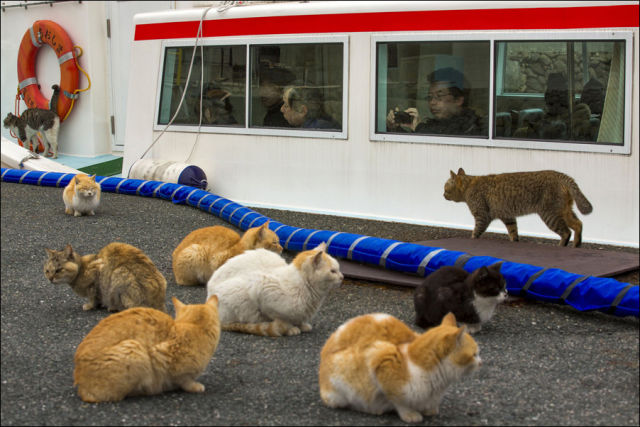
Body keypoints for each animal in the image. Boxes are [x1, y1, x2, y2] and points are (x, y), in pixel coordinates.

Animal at [73, 296, 220, 402]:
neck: (193, 326)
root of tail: (81, 387)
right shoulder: (161, 355)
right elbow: (183, 379)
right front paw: (195, 386)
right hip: (135, 349)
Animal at [208, 242, 342, 336]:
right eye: (333, 271)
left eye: (339, 269)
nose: (342, 277)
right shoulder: (261, 288)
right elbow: (279, 318)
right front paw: (290, 328)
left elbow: (299, 319)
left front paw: (302, 325)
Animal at [320, 312, 480, 422]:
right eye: (474, 354)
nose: (482, 362)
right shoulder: (382, 357)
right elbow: (398, 401)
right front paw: (410, 414)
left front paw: (429, 409)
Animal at [442, 167, 592, 247]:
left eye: (445, 188)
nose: (442, 194)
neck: (470, 185)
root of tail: (561, 175)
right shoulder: (508, 217)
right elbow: (513, 233)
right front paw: (514, 241)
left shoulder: (482, 216)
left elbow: (475, 232)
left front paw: (472, 239)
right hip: (564, 211)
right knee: (578, 224)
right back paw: (576, 244)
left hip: (550, 214)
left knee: (566, 232)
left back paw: (561, 246)